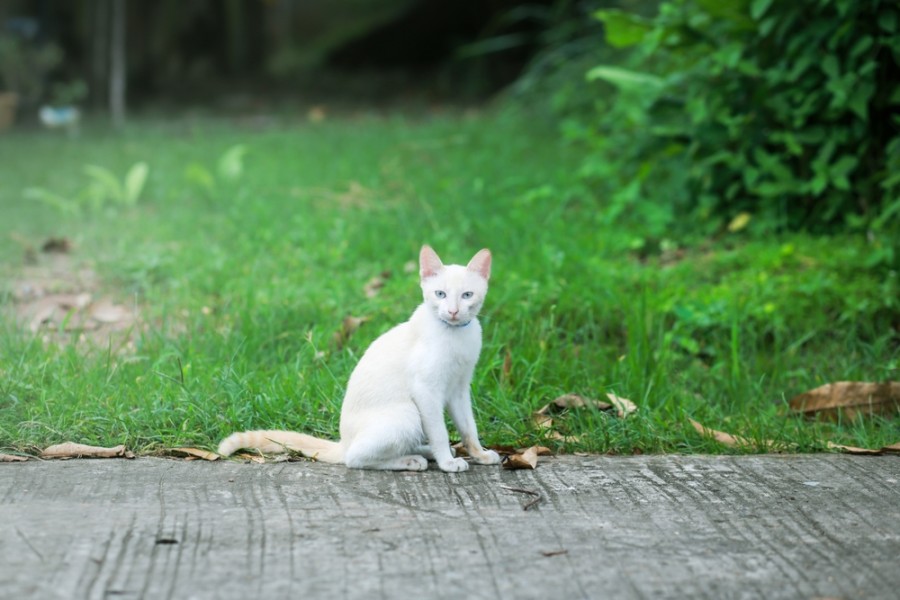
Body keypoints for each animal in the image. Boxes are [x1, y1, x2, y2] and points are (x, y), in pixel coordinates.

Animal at [216, 246, 500, 472]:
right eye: (440, 294)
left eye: (467, 295)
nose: (452, 312)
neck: (456, 335)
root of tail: (343, 441)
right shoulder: (426, 390)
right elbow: (440, 431)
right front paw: (447, 463)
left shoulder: (459, 388)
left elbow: (468, 428)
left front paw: (480, 455)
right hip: (407, 413)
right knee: (356, 459)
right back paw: (412, 460)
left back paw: (423, 451)